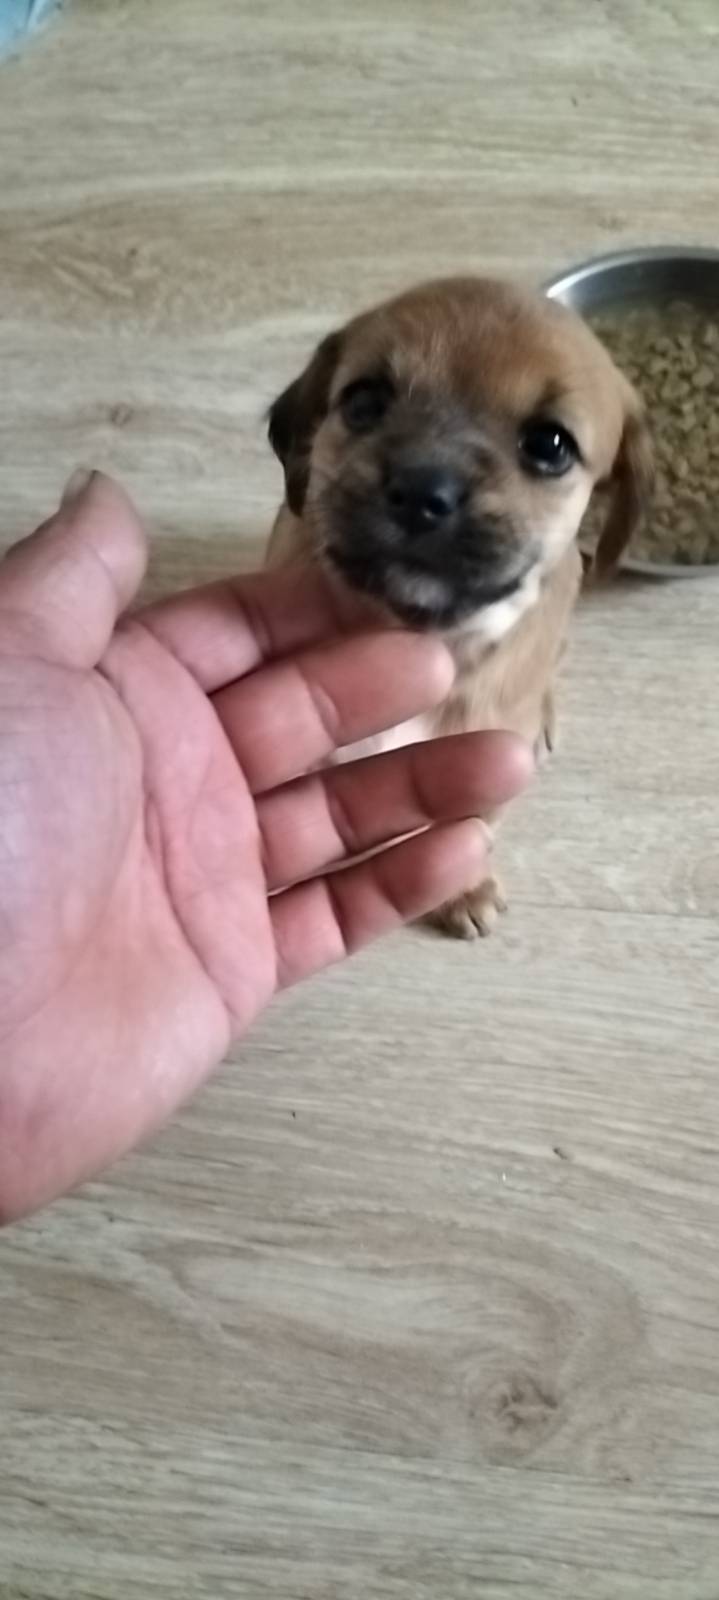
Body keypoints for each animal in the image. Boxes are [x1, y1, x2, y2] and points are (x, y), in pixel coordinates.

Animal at [265, 276, 653, 937]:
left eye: (551, 444)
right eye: (363, 402)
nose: (422, 491)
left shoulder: (482, 766)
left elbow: (465, 826)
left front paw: (462, 889)